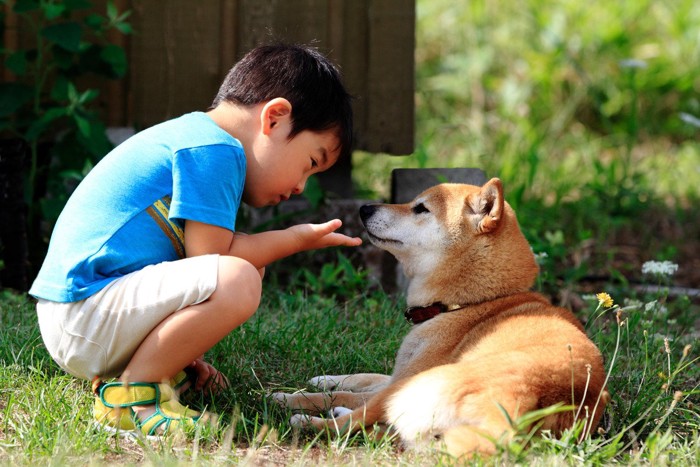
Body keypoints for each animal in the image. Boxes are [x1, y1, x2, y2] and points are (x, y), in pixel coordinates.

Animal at [274, 179, 608, 458]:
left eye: (420, 208)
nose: (365, 207)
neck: (464, 303)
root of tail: (526, 405)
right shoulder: (399, 374)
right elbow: (363, 377)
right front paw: (325, 379)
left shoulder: (402, 381)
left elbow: (339, 395)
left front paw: (293, 396)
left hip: (415, 391)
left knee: (352, 424)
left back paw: (304, 420)